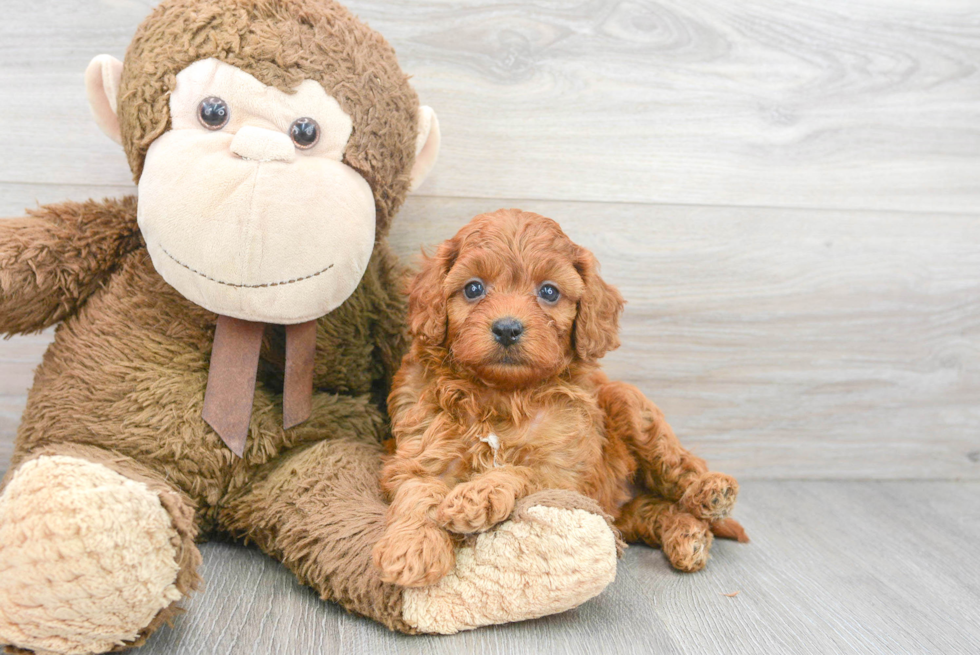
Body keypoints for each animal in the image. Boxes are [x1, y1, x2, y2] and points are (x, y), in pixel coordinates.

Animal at [372, 208, 748, 588]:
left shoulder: (567, 474)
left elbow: (523, 471)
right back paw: (688, 535)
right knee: (653, 509)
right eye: (473, 288)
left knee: (679, 465)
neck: (501, 393)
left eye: (549, 292)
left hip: (627, 403)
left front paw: (477, 495)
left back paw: (711, 492)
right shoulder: (420, 449)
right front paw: (413, 547)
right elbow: (418, 490)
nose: (507, 328)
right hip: (621, 510)